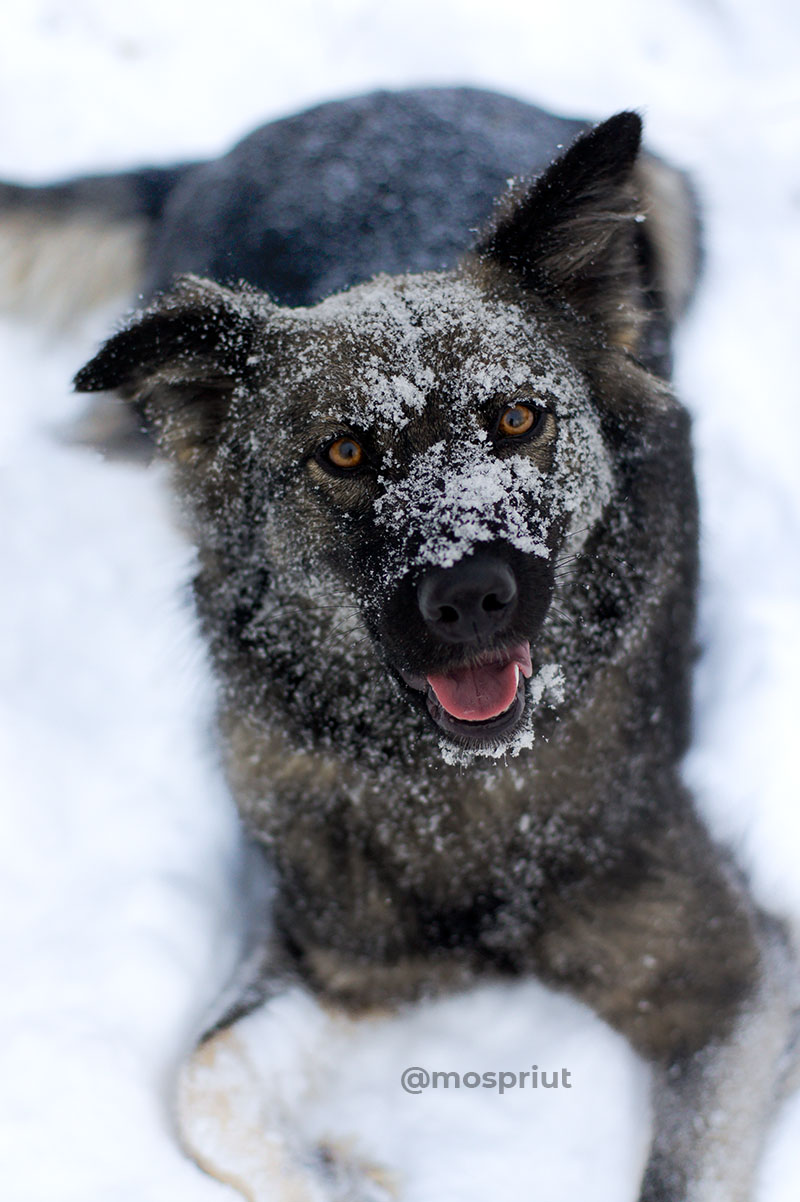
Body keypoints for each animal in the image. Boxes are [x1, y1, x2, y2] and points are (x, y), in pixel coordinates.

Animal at [4, 88, 792, 1197]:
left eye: (518, 418)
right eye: (343, 451)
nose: (471, 596)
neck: (458, 791)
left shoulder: (725, 974)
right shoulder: (339, 954)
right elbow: (205, 1083)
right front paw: (343, 1166)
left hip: (667, 203)